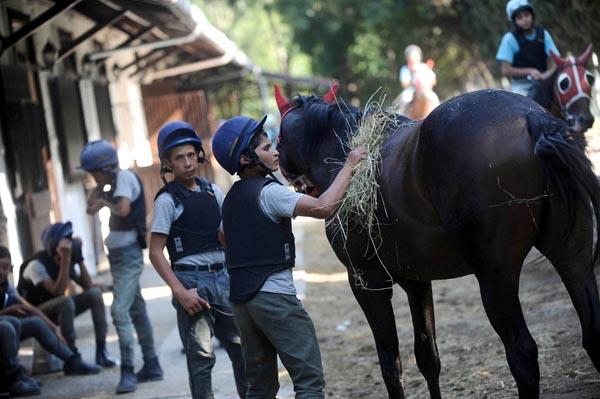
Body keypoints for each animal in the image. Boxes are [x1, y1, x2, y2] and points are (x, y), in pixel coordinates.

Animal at [276, 86, 600, 398]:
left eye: (277, 141)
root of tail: (531, 116)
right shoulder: (417, 282)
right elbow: (427, 357)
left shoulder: (367, 284)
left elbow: (390, 364)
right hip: (572, 258)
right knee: (591, 330)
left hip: (495, 280)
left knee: (522, 354)